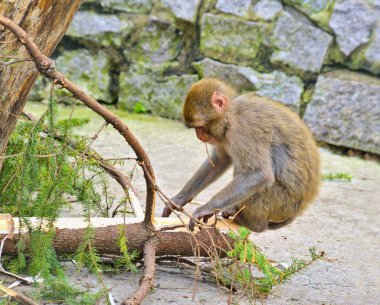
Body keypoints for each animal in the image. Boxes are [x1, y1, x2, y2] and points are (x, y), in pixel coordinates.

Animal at [162, 78, 320, 230]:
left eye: (200, 127)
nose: (198, 136)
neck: (231, 115)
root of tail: (299, 210)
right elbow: (220, 160)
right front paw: (179, 199)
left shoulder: (245, 129)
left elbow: (259, 173)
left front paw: (205, 209)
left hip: (280, 203)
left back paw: (252, 223)